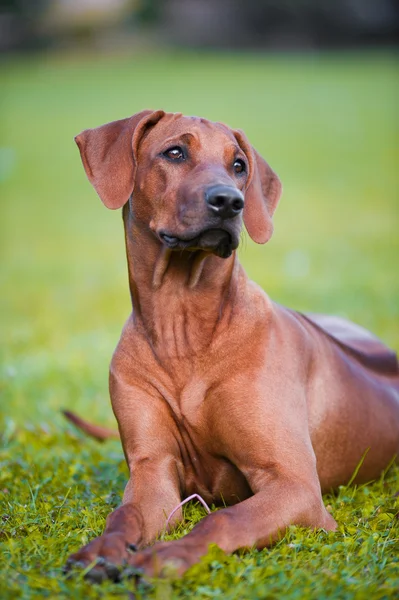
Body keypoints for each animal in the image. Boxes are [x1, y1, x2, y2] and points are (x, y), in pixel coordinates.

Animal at [64, 109, 398, 580]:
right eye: (174, 152)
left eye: (238, 165)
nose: (229, 201)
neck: (182, 326)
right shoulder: (152, 472)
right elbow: (125, 514)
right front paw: (100, 551)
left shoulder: (294, 485)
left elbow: (224, 518)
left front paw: (168, 557)